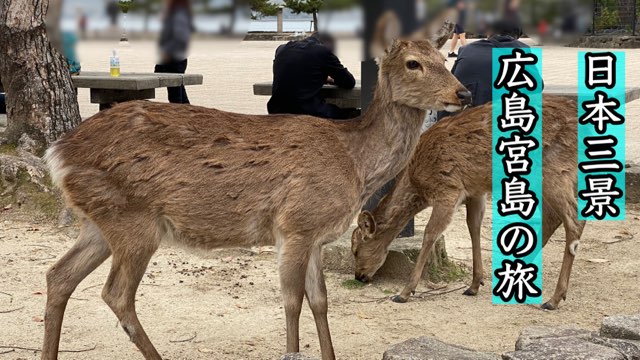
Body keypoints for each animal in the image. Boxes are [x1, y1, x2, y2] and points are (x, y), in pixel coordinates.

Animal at [40, 11, 470, 360]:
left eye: (443, 59)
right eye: (414, 63)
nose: (463, 93)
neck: (354, 162)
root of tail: (56, 153)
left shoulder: (316, 236)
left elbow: (320, 301)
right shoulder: (295, 225)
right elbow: (292, 302)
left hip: (100, 220)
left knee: (58, 275)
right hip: (135, 220)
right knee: (116, 294)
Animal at [352, 95, 588, 310]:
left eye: (356, 248)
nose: (359, 276)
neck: (417, 181)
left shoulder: (448, 187)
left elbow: (430, 233)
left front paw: (405, 292)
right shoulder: (475, 190)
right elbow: (473, 227)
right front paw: (474, 284)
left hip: (555, 169)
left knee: (573, 220)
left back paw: (554, 299)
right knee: (555, 218)